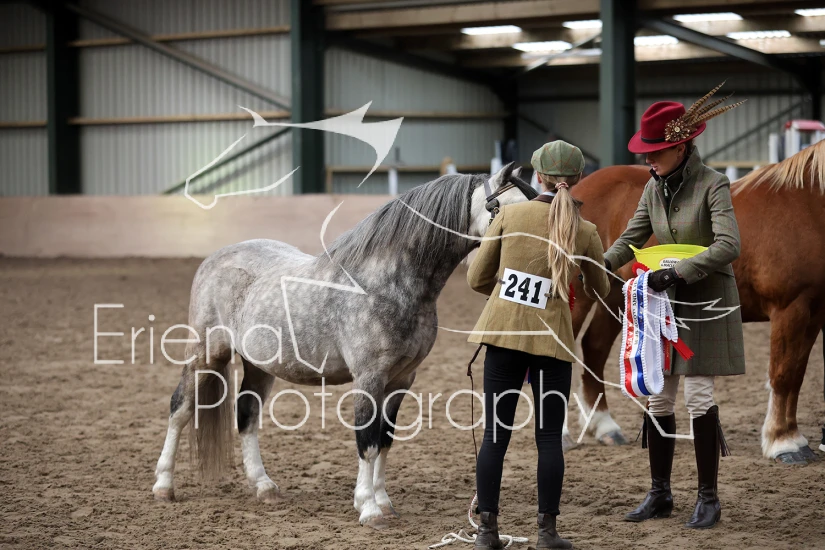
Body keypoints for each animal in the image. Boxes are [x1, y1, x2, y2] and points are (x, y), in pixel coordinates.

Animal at [152, 162, 537, 528]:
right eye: (508, 209)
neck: (388, 283)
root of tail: (214, 258)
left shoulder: (401, 380)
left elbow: (384, 440)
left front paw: (383, 502)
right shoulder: (369, 378)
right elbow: (367, 442)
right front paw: (368, 509)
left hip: (259, 365)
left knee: (247, 415)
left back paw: (264, 487)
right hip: (205, 354)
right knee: (180, 408)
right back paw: (164, 485)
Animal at [568, 140, 825, 465]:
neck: (805, 205)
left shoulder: (814, 311)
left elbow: (798, 375)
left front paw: (793, 438)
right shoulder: (790, 308)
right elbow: (783, 374)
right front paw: (784, 442)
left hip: (615, 294)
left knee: (594, 349)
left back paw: (604, 426)